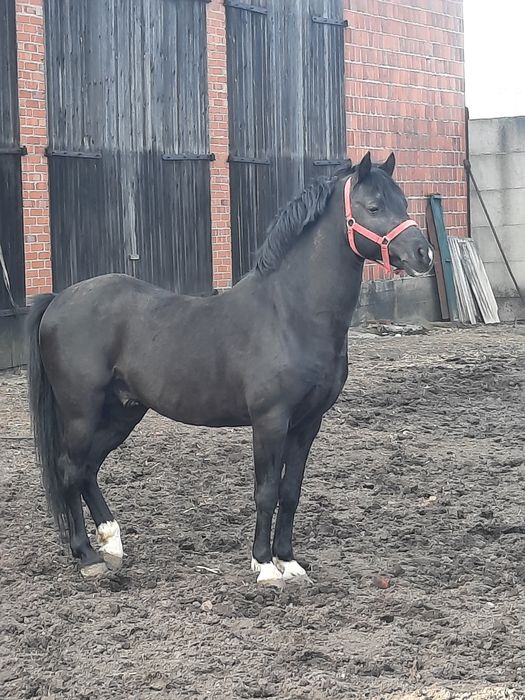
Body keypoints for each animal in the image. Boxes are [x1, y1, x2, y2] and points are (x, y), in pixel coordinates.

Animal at [27, 152, 433, 583]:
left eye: (404, 203)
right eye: (373, 207)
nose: (422, 254)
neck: (291, 313)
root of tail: (58, 299)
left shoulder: (308, 422)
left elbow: (291, 491)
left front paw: (289, 562)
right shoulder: (270, 420)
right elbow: (266, 491)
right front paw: (264, 566)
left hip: (123, 411)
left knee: (87, 468)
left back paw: (112, 544)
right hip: (82, 413)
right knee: (70, 469)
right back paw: (88, 556)